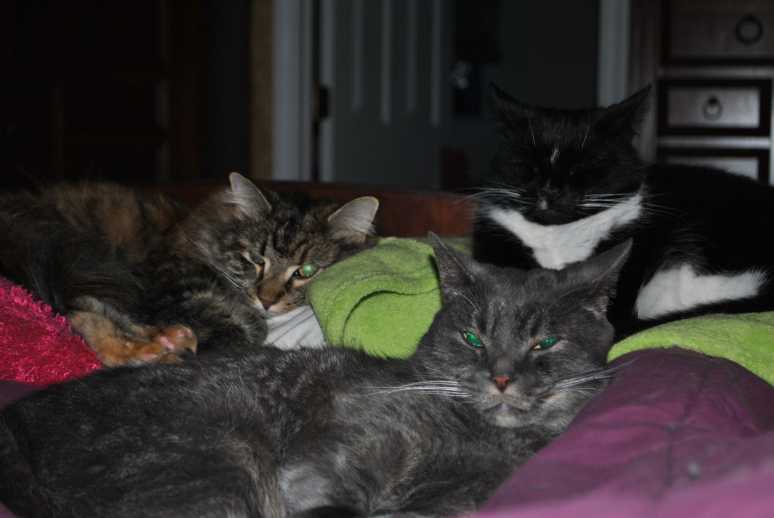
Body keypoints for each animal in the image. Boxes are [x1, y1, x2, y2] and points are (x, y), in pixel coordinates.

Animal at [0, 173, 379, 365]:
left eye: (306, 270)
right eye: (256, 260)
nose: (267, 300)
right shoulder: (170, 284)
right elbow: (242, 330)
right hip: (78, 262)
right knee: (83, 314)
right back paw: (158, 349)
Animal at [0, 237, 631, 518]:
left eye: (544, 342)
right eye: (473, 338)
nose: (501, 377)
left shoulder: (452, 502)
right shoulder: (331, 461)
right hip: (214, 469)